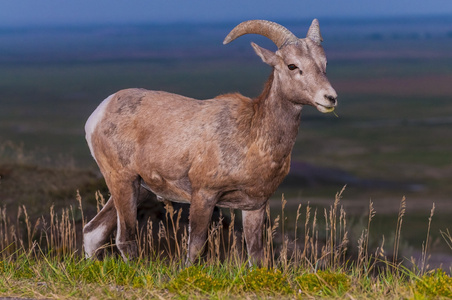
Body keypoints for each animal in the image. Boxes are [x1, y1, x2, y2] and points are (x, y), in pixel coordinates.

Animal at [82, 19, 336, 264]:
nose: (330, 98)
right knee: (124, 239)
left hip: (138, 189)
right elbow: (195, 249)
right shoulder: (204, 196)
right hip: (123, 181)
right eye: (292, 65)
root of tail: (100, 112)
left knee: (92, 232)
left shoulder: (255, 206)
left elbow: (256, 256)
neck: (252, 137)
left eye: (324, 64)